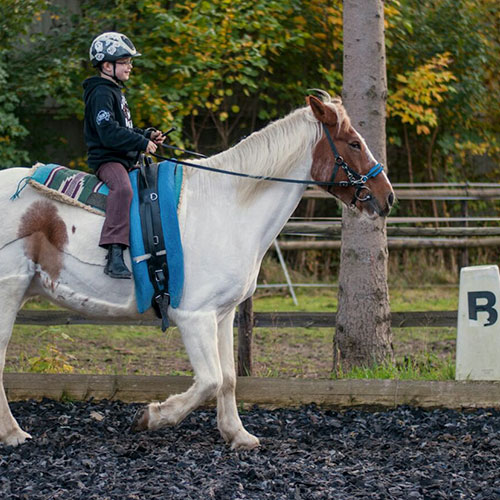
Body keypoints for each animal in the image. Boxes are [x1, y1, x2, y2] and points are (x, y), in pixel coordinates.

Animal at [0, 94, 394, 450]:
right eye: (354, 143)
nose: (387, 196)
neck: (227, 206)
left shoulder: (222, 315)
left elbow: (229, 378)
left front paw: (238, 435)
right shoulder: (194, 317)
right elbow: (210, 381)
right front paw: (152, 416)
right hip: (9, 292)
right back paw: (13, 433)